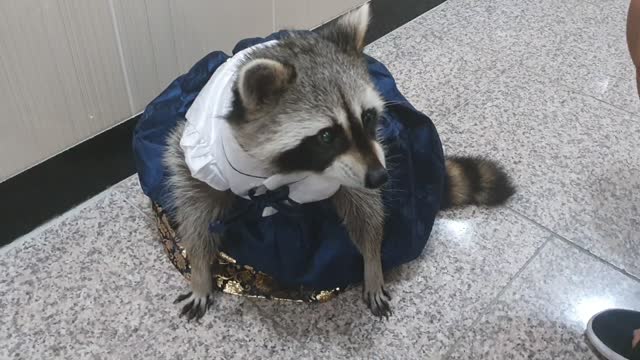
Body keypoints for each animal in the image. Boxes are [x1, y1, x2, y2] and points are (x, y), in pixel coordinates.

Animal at [164, 2, 516, 318]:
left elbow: (365, 209)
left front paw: (372, 262)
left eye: (369, 117)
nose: (380, 177)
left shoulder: (350, 168)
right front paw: (200, 271)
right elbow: (196, 208)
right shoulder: (202, 159)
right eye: (326, 136)